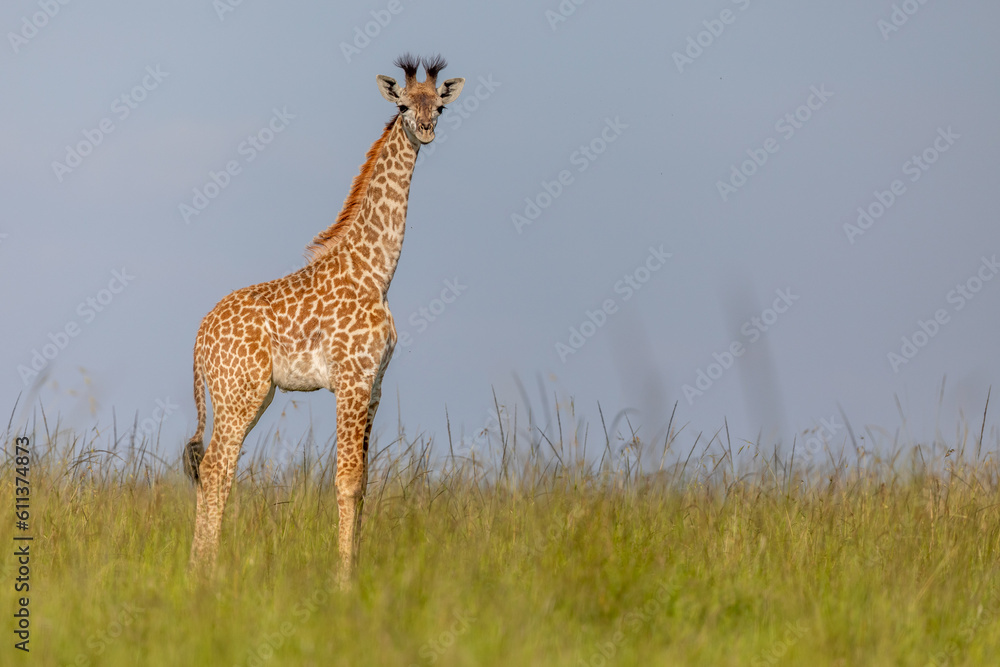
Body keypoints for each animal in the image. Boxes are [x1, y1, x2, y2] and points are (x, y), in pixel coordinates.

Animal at [182, 54, 464, 584]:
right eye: (402, 104)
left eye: (438, 105)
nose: (425, 128)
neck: (376, 272)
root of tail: (199, 338)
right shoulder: (350, 380)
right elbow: (347, 480)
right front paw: (343, 580)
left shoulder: (374, 385)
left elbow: (366, 482)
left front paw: (355, 568)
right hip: (239, 393)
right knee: (215, 468)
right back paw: (204, 572)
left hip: (253, 395)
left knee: (214, 468)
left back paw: (201, 568)